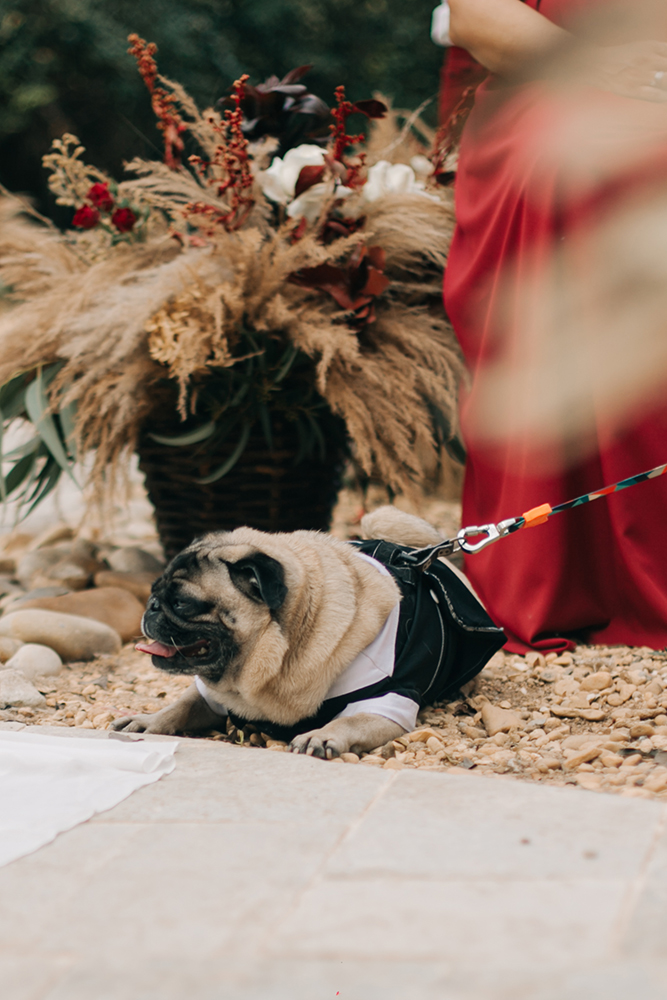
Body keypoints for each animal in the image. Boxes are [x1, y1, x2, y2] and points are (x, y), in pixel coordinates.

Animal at [112, 508, 504, 756]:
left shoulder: (386, 704)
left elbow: (350, 720)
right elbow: (180, 706)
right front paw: (149, 721)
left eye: (182, 604)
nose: (151, 606)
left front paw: (322, 735)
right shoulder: (211, 695)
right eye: (154, 591)